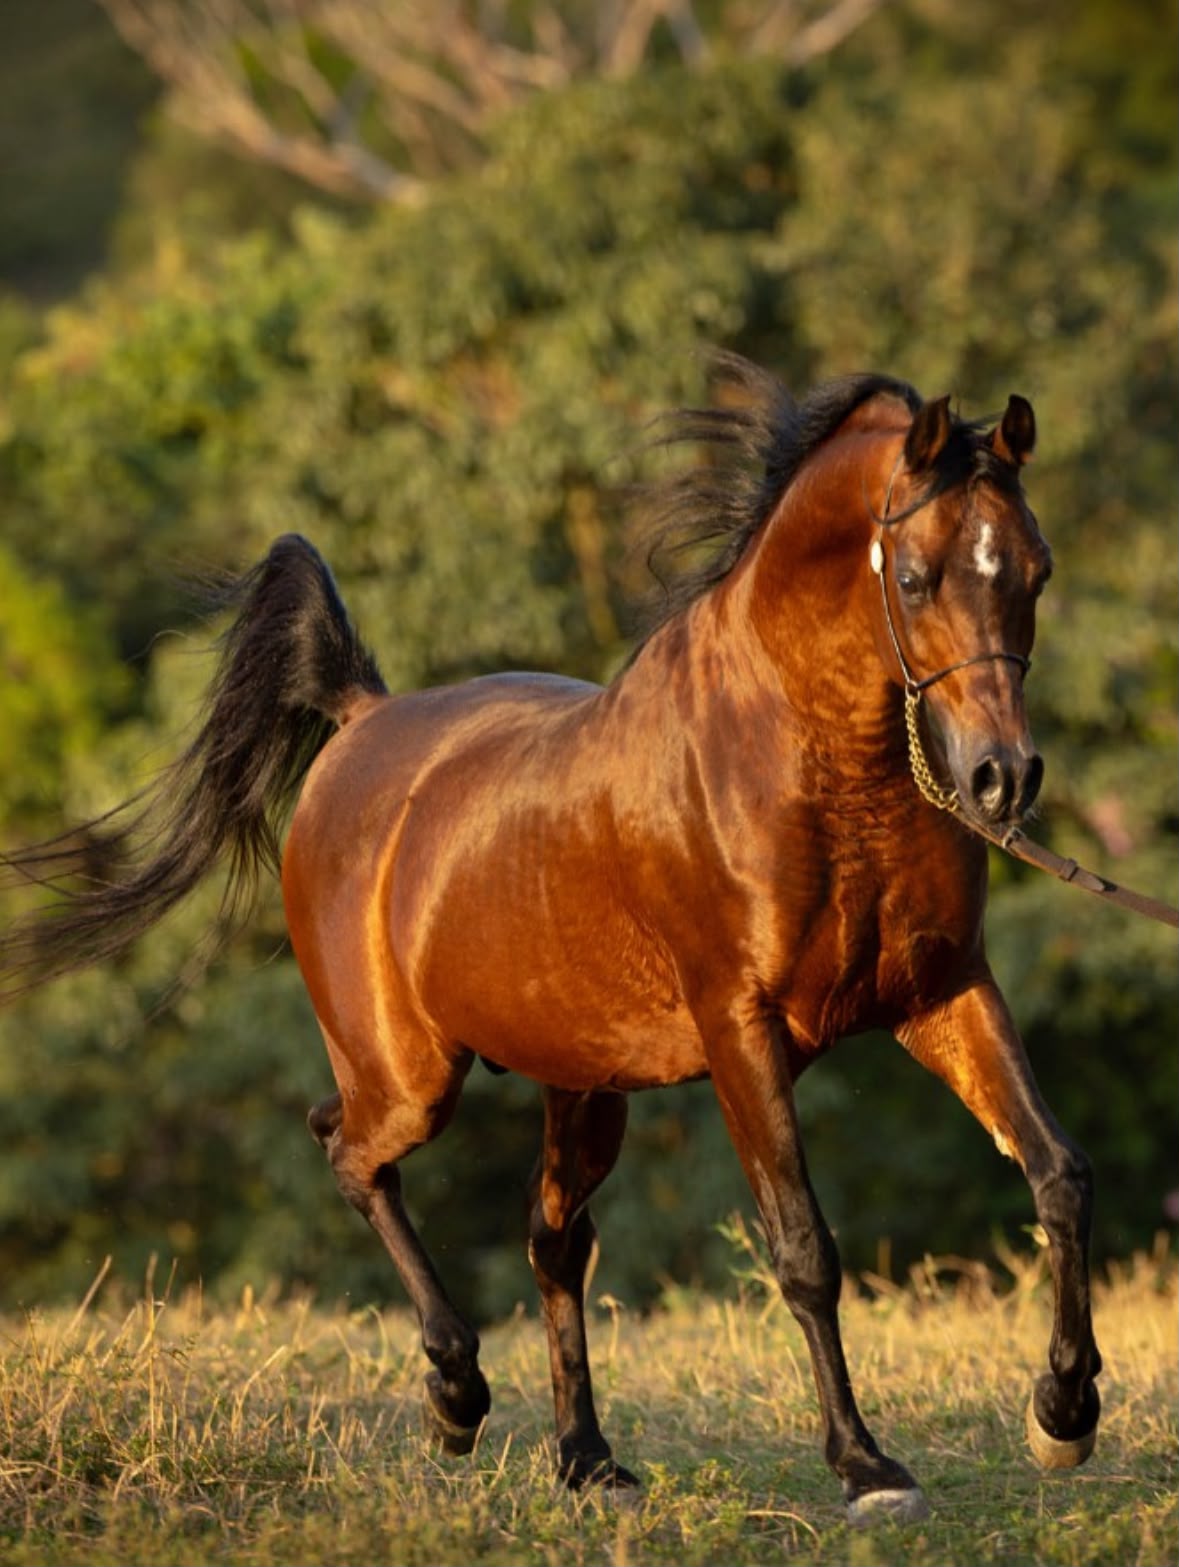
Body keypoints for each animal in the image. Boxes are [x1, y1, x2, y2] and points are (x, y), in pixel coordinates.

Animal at [0, 356, 1101, 1525]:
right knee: (346, 1149)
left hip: (582, 1082)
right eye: (919, 578)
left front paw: (1064, 1413)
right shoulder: (742, 1028)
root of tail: (360, 720)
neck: (807, 765)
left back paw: (585, 1457)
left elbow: (1058, 1172)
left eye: (1035, 569)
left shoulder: (941, 992)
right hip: (410, 1076)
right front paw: (866, 1465)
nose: (1001, 778)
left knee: (552, 1238)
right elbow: (803, 1245)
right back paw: (455, 1393)